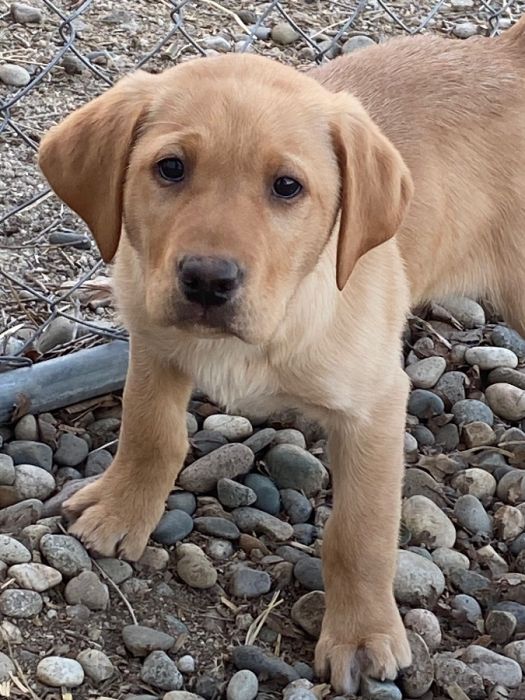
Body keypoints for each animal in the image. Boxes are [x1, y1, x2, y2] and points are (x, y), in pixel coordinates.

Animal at [39, 20, 524, 696]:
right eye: (170, 168)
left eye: (287, 187)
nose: (207, 280)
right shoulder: (153, 341)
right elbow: (149, 432)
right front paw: (121, 509)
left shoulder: (375, 407)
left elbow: (360, 532)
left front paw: (361, 634)